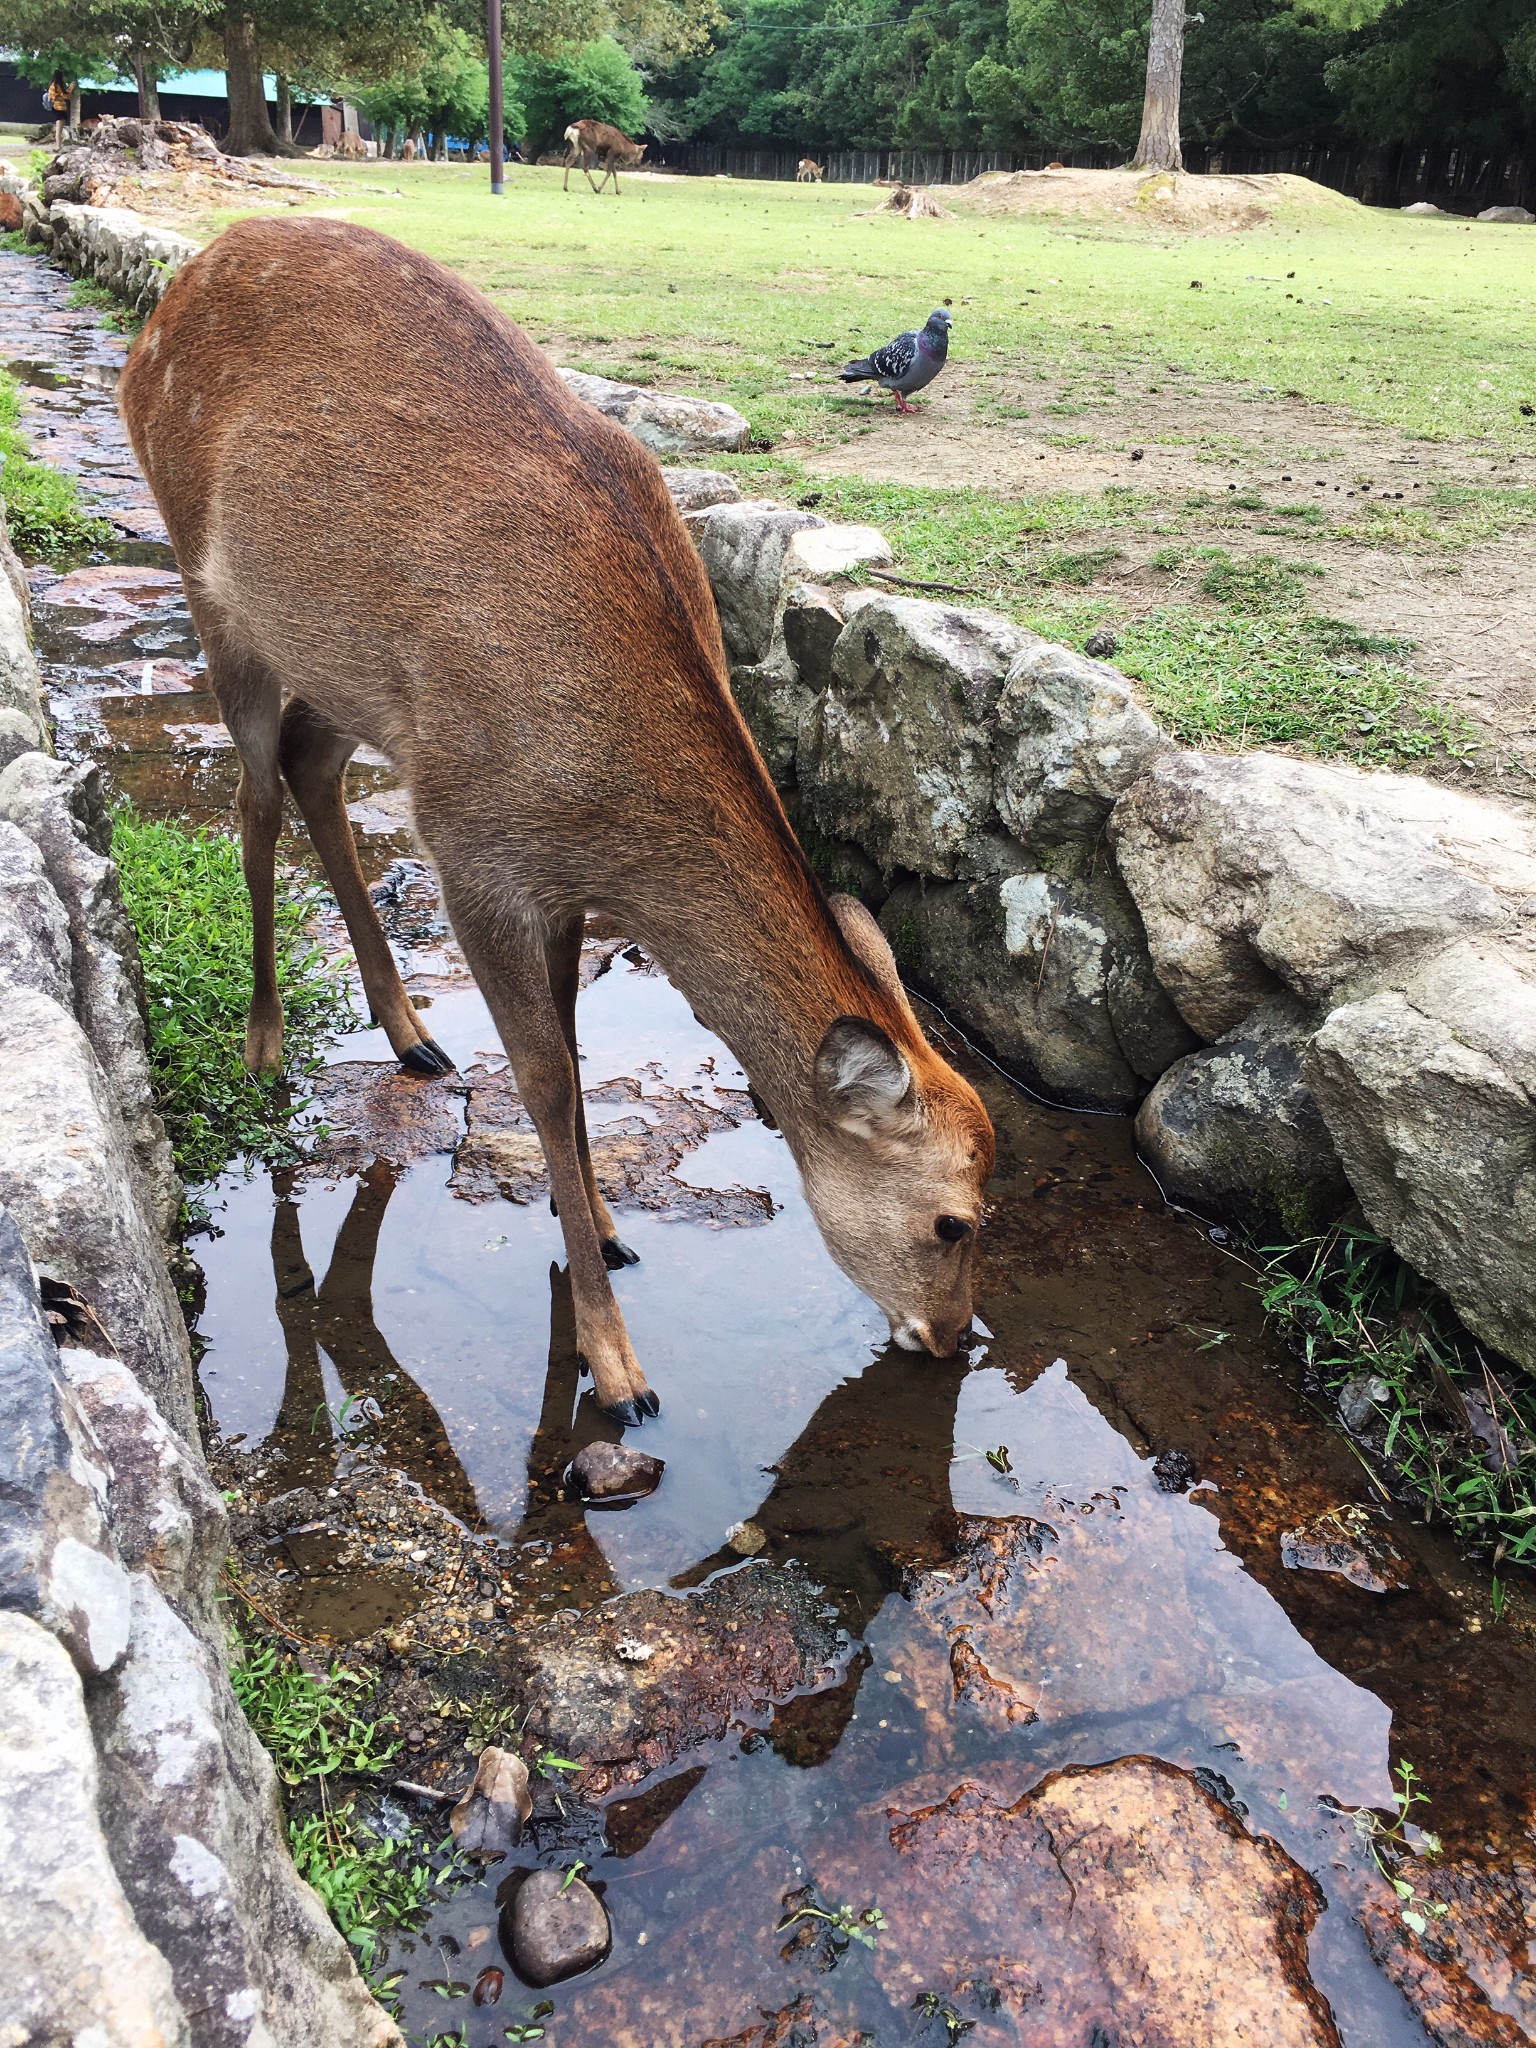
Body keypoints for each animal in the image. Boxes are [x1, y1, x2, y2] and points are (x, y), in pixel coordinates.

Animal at [114, 211, 991, 1425]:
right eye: (954, 1220)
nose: (953, 1341)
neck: (612, 808)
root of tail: (166, 301)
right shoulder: (472, 845)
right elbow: (539, 1076)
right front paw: (617, 1366)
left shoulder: (555, 871)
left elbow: (574, 1055)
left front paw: (610, 1234)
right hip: (216, 587)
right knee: (250, 794)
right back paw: (266, 1046)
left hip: (359, 678)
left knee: (306, 761)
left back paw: (413, 1033)